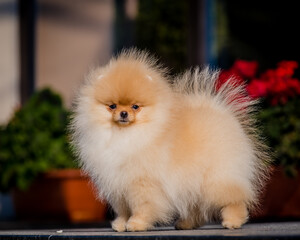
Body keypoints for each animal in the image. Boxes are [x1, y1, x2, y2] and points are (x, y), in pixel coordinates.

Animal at [69, 48, 270, 231]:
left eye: (135, 107)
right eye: (112, 106)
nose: (124, 113)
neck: (125, 135)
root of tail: (223, 114)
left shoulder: (142, 183)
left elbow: (142, 207)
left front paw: (136, 224)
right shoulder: (118, 184)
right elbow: (123, 209)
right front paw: (120, 224)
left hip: (216, 178)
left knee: (233, 199)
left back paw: (233, 221)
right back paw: (186, 224)